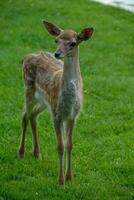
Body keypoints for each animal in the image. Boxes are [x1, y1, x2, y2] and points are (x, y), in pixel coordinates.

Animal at [18, 20, 93, 184]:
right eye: (56, 40)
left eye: (73, 43)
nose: (57, 53)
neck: (69, 102)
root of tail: (27, 55)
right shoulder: (57, 115)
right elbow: (60, 146)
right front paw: (60, 181)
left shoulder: (72, 116)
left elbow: (69, 145)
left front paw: (70, 177)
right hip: (28, 88)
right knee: (24, 115)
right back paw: (21, 153)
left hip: (44, 102)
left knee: (33, 116)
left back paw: (37, 154)